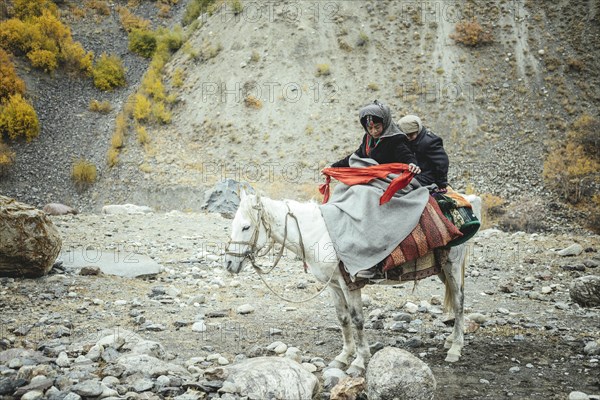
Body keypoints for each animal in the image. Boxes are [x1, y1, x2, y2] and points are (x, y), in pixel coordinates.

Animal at [225, 190, 482, 376]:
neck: (319, 233)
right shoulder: (334, 286)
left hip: (452, 266)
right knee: (455, 301)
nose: (228, 263)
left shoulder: (351, 284)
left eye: (246, 227)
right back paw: (450, 339)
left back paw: (455, 348)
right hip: (443, 269)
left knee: (459, 302)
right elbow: (343, 319)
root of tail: (467, 201)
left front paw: (359, 361)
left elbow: (358, 320)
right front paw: (343, 357)